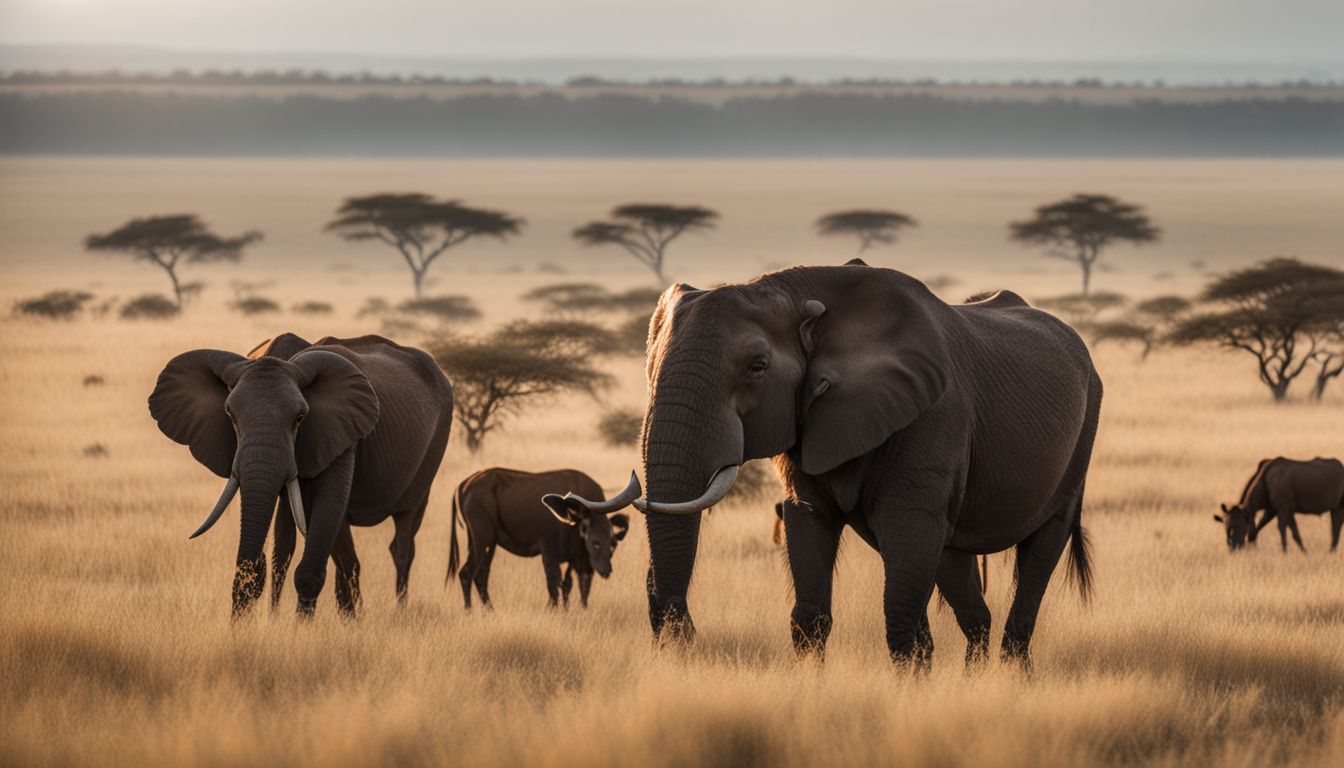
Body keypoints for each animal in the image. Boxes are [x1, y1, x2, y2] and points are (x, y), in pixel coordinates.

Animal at [145, 333, 451, 616]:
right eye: (229, 414)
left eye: (300, 419)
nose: (237, 621)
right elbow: (282, 549)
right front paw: (271, 622)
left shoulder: (341, 433)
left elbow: (327, 510)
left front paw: (302, 630)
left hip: (433, 449)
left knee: (403, 535)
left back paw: (397, 611)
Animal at [448, 468, 642, 607]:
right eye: (595, 543)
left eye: (613, 544)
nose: (606, 569)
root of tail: (465, 483)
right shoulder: (549, 552)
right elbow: (554, 585)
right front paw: (553, 610)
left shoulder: (574, 558)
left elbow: (569, 585)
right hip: (483, 541)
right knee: (468, 573)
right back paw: (471, 611)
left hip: (485, 544)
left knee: (479, 575)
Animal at [628, 263, 1102, 667]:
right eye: (648, 366)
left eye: (758, 367)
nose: (683, 634)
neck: (799, 295)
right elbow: (809, 547)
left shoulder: (934, 414)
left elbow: (906, 561)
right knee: (960, 579)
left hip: (1082, 437)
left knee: (1039, 552)